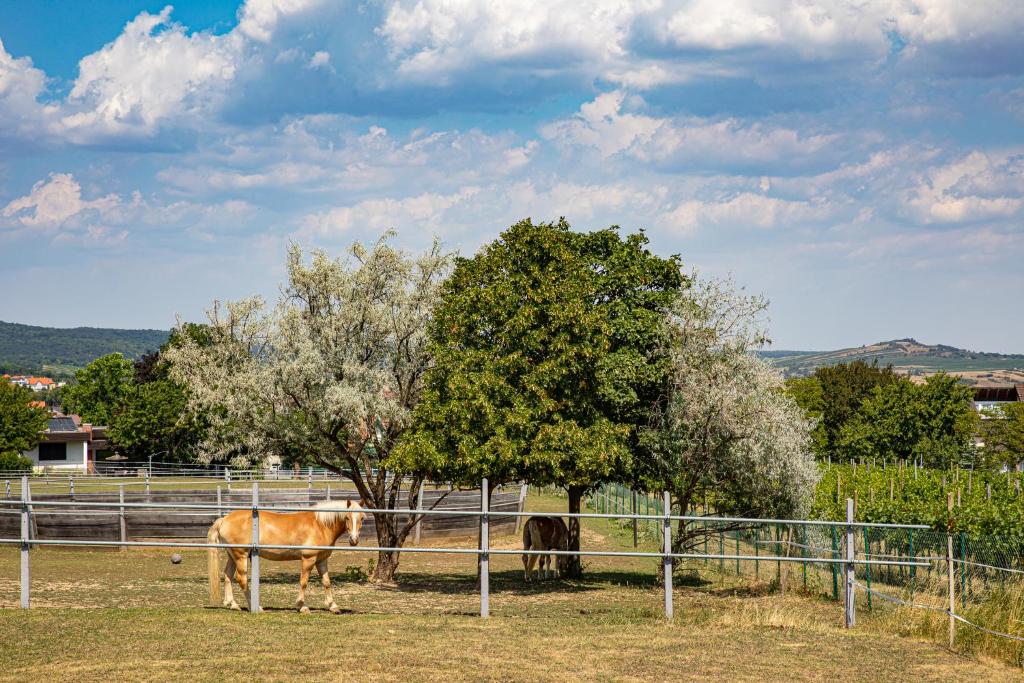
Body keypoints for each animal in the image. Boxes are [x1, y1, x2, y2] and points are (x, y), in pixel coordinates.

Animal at [205, 497, 366, 614]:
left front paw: (333, 606)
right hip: (241, 555)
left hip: (232, 555)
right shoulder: (308, 559)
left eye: (362, 518)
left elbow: (326, 582)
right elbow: (303, 582)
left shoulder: (321, 560)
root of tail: (224, 519)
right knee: (241, 578)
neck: (320, 525)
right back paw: (256, 607)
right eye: (347, 517)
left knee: (228, 575)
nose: (354, 540)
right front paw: (301, 606)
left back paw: (233, 604)